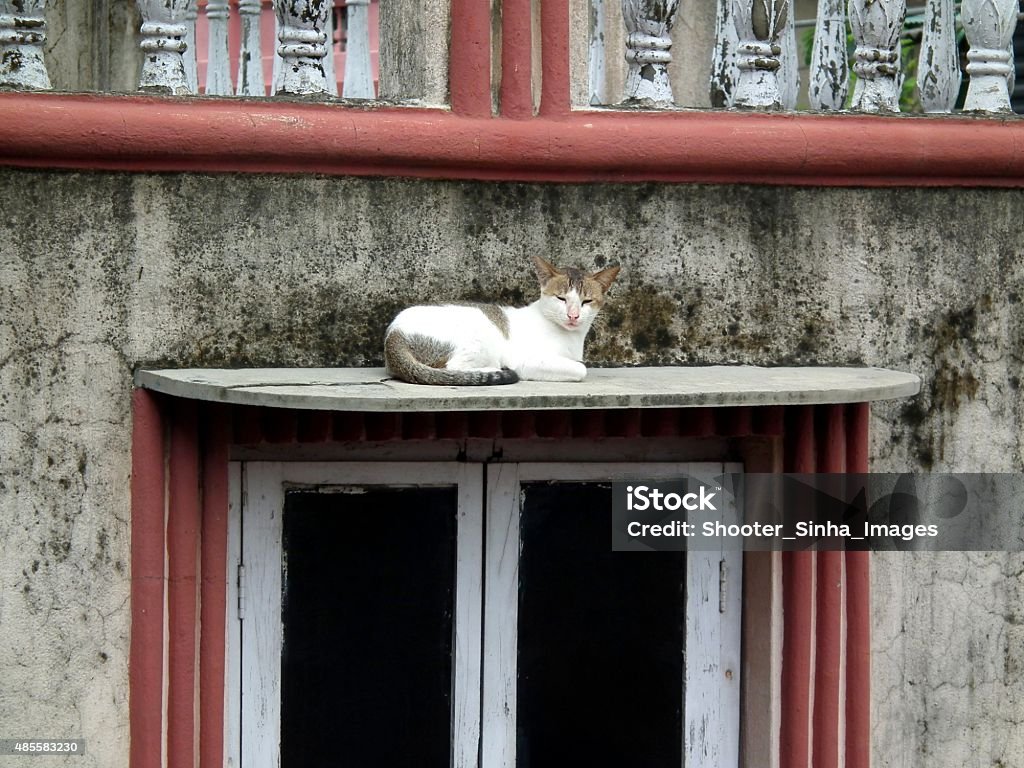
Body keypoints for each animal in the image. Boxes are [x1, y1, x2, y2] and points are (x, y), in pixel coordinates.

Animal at [382, 259, 614, 387]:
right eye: (561, 298)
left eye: (586, 301)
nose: (573, 315)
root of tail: (394, 334)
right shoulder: (527, 360)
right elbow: (580, 369)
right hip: (481, 337)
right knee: (452, 368)